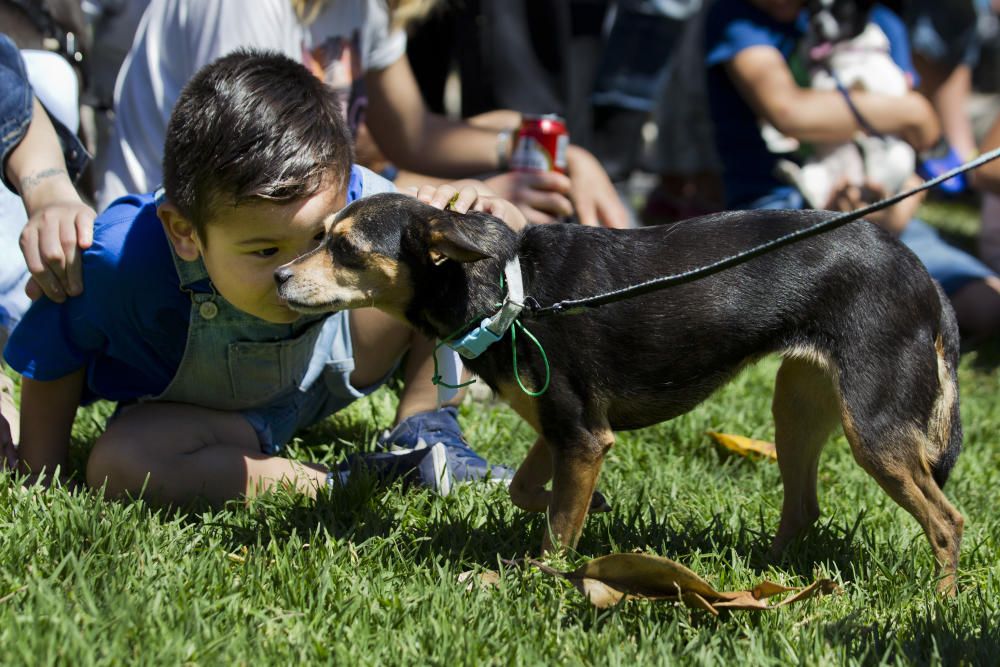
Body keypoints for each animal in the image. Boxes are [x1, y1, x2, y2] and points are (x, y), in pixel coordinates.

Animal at [278, 192, 964, 588]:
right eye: (319, 234)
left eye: (345, 249)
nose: (280, 276)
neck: (509, 289)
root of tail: (925, 281)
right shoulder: (565, 429)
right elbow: (528, 491)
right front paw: (596, 507)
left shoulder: (582, 436)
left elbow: (556, 529)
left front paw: (542, 578)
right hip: (797, 404)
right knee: (804, 508)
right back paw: (764, 578)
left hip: (872, 430)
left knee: (947, 521)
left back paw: (936, 603)